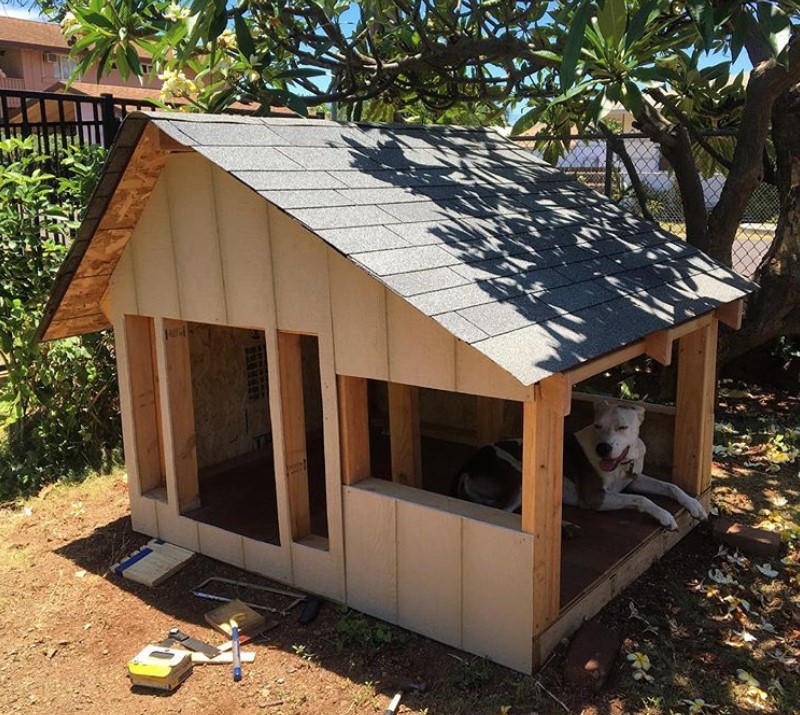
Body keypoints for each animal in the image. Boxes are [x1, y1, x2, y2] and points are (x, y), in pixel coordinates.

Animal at [454, 400, 708, 528]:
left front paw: (694, 504)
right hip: (518, 480)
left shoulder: (633, 479)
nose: (602, 448)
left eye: (622, 427)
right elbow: (641, 499)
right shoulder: (596, 498)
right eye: (597, 425)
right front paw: (665, 516)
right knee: (500, 513)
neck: (621, 465)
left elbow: (669, 485)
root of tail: (467, 466)